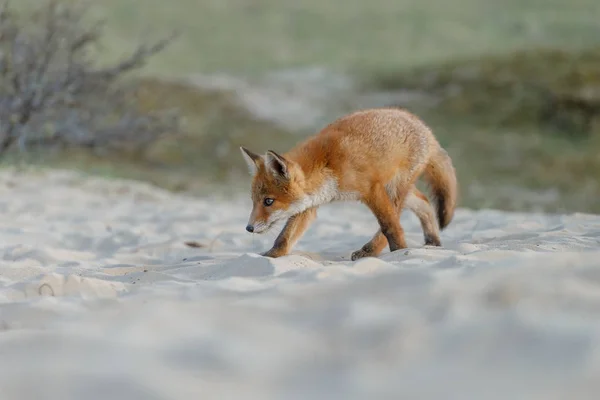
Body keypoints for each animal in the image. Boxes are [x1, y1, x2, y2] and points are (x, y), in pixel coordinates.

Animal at [237, 108, 458, 260]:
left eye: (268, 201)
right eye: (254, 201)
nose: (248, 228)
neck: (328, 167)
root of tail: (423, 126)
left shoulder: (372, 189)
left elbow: (389, 226)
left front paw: (399, 251)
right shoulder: (308, 206)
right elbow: (284, 238)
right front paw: (270, 257)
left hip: (394, 189)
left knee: (396, 218)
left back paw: (372, 251)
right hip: (401, 191)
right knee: (425, 202)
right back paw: (433, 242)